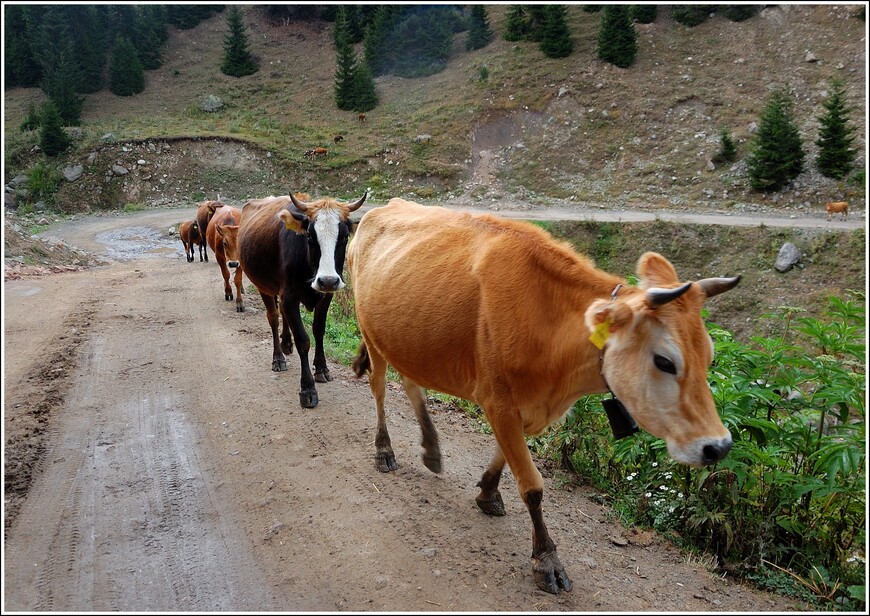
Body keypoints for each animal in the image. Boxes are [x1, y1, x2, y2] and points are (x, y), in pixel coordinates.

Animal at [238, 190, 368, 406]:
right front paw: (307, 389)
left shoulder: (325, 296)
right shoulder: (289, 296)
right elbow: (303, 340)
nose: (328, 280)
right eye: (309, 236)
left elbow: (319, 331)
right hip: (263, 285)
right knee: (273, 317)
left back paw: (286, 344)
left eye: (343, 237)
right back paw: (279, 357)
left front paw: (322, 369)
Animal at [348, 200, 744, 596]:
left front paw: (488, 490)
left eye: (709, 357)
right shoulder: (497, 400)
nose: (719, 446)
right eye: (664, 361)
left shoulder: (525, 407)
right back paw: (384, 450)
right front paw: (546, 559)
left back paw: (431, 448)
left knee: (411, 384)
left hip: (407, 342)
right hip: (370, 333)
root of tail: (385, 206)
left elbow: (506, 455)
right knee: (379, 389)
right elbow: (532, 485)